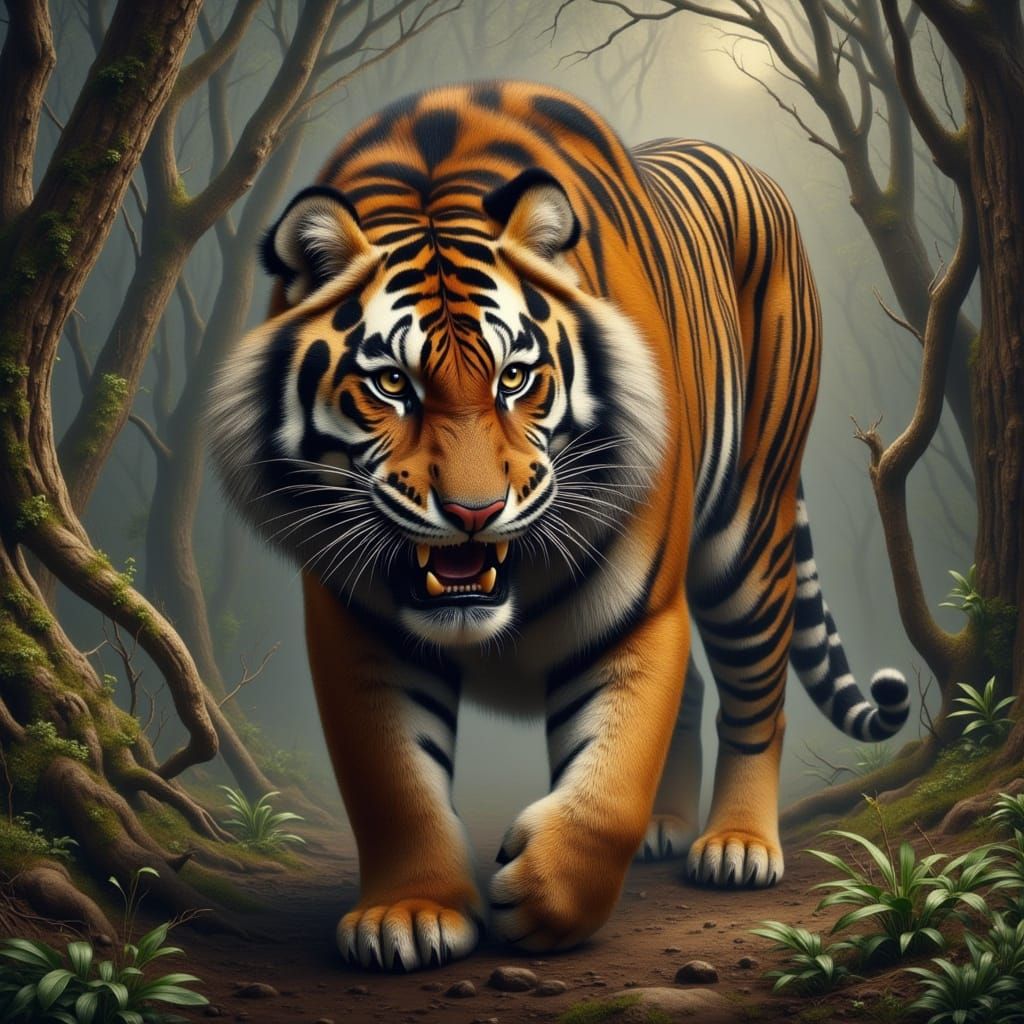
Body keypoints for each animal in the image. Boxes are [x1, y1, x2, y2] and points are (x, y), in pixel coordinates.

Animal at [209, 80, 909, 971]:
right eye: (392, 384)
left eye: (515, 377)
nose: (472, 512)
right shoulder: (355, 624)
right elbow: (391, 781)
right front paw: (409, 914)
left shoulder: (639, 609)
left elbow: (609, 781)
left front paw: (543, 897)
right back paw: (667, 828)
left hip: (749, 530)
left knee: (756, 689)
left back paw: (738, 847)